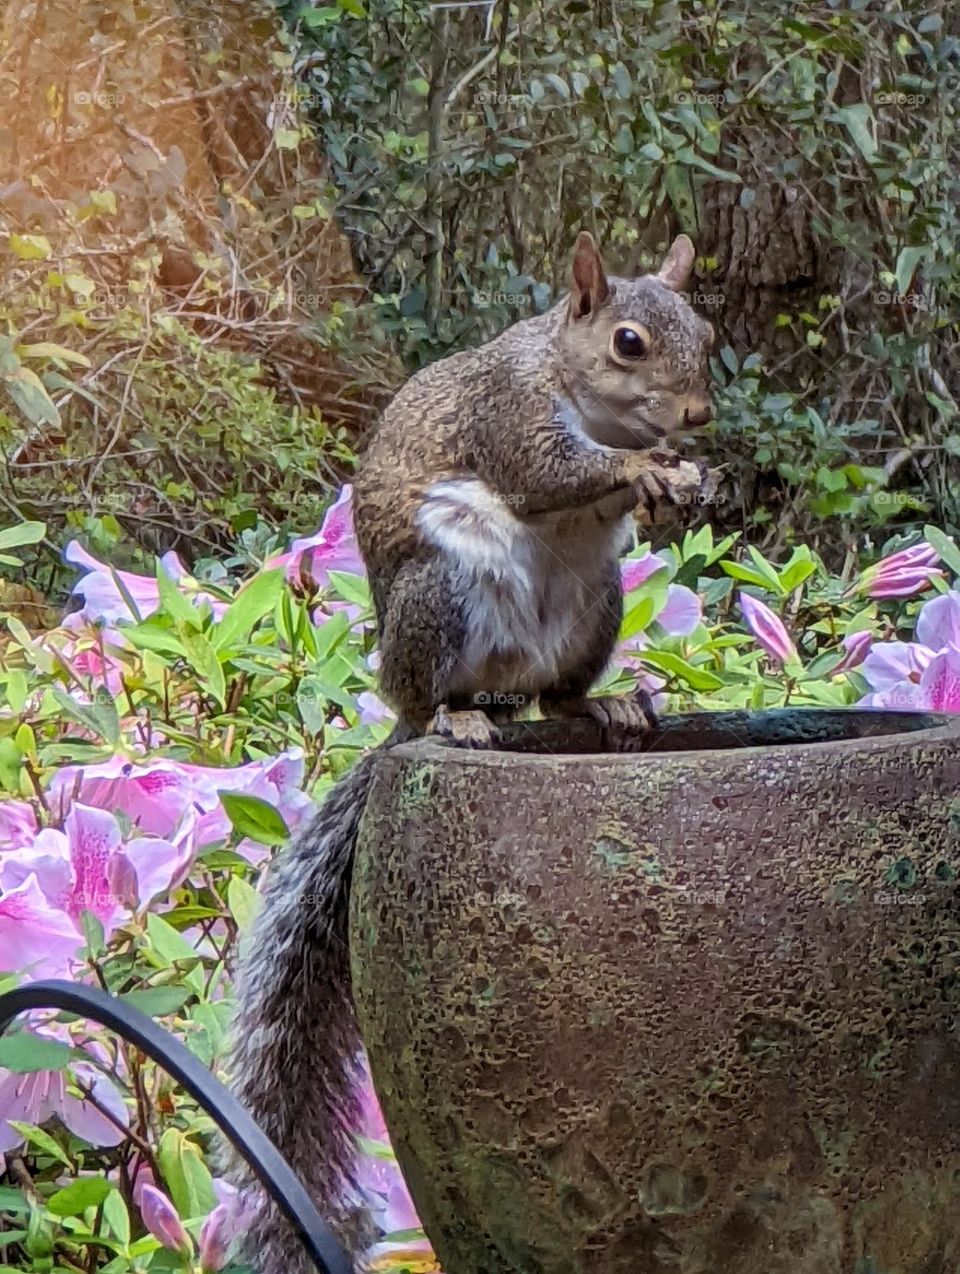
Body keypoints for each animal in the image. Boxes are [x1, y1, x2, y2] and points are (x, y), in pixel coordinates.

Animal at [222, 231, 715, 1272]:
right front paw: (647, 469)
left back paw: (601, 705)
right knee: (443, 690)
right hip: (442, 594)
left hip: (598, 602)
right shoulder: (511, 420)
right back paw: (461, 720)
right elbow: (548, 471)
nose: (698, 416)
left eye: (706, 331)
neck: (574, 384)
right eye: (628, 341)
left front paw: (684, 476)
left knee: (557, 691)